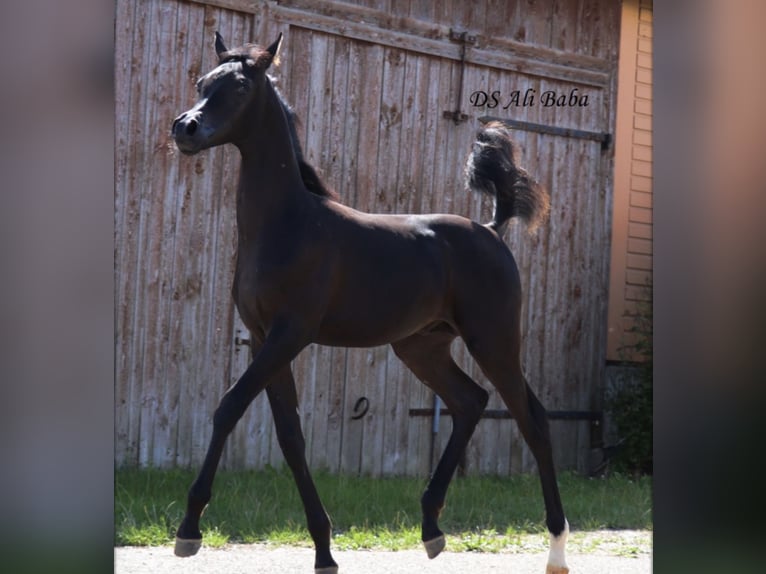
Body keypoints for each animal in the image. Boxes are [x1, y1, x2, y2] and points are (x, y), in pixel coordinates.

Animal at [172, 32, 568, 574]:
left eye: (238, 87)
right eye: (200, 83)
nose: (184, 128)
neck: (288, 224)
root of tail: (491, 229)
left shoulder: (290, 334)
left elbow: (229, 406)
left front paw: (189, 529)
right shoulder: (262, 338)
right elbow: (290, 436)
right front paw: (324, 550)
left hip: (495, 341)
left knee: (533, 418)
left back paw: (557, 548)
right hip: (421, 348)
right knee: (471, 401)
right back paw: (431, 528)